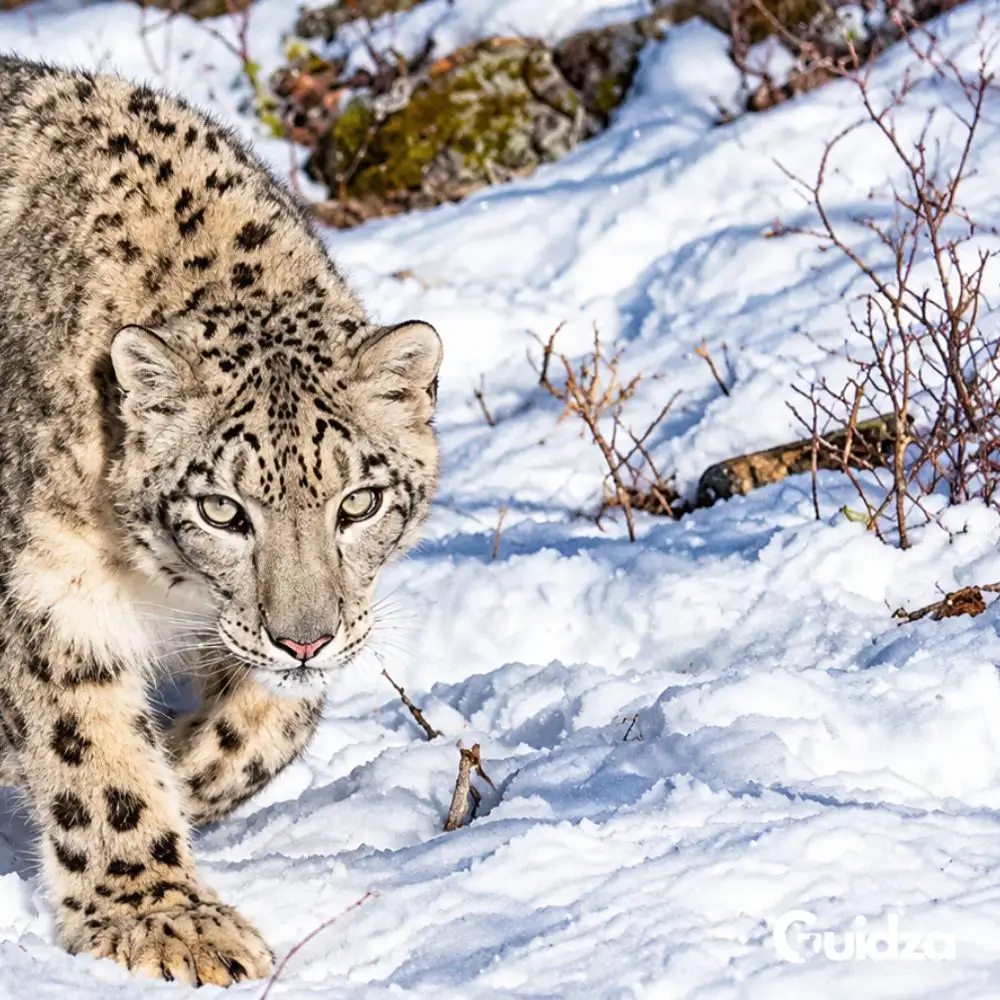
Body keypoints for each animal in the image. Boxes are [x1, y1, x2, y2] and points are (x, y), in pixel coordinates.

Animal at [0, 55, 442, 987]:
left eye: (359, 501)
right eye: (221, 509)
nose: (304, 639)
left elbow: (269, 724)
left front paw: (185, 762)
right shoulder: (46, 587)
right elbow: (90, 752)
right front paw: (164, 921)